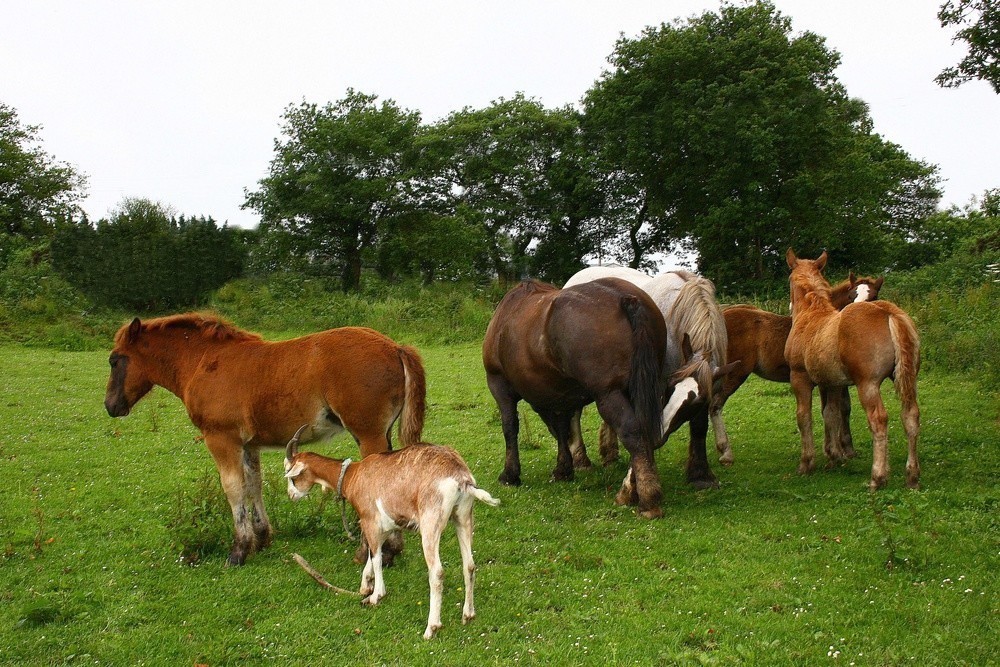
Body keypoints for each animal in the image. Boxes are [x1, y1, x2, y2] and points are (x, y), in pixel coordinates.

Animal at [104, 316, 426, 568]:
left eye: (114, 361)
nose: (110, 406)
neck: (202, 362)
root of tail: (396, 347)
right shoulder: (248, 444)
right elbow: (252, 484)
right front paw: (261, 537)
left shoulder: (221, 439)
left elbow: (233, 488)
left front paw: (239, 549)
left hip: (369, 434)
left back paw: (377, 552)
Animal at [282, 428, 500, 640]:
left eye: (292, 475)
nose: (291, 496)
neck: (354, 475)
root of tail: (461, 477)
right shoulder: (388, 525)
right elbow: (373, 554)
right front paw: (365, 586)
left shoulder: (369, 521)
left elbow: (376, 558)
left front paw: (376, 595)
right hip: (463, 516)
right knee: (469, 565)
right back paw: (468, 614)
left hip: (431, 522)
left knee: (437, 571)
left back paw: (431, 628)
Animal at [482, 280, 676, 520]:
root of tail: (627, 298)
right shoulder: (558, 396)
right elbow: (561, 430)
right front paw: (563, 469)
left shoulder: (499, 386)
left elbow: (510, 428)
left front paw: (510, 474)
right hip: (646, 389)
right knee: (646, 432)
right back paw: (634, 488)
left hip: (608, 394)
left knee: (633, 431)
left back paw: (648, 498)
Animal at [712, 272, 884, 464]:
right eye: (850, 296)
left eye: (873, 296)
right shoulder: (828, 382)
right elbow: (834, 411)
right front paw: (838, 450)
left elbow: (841, 409)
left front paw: (842, 449)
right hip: (734, 373)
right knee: (715, 406)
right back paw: (726, 452)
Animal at [784, 250, 916, 490]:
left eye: (789, 279)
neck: (810, 313)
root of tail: (888, 312)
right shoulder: (833, 383)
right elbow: (832, 414)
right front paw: (835, 457)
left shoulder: (799, 378)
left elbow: (804, 416)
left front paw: (807, 463)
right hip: (907, 378)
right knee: (911, 415)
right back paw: (912, 476)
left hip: (868, 384)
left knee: (878, 420)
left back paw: (877, 477)